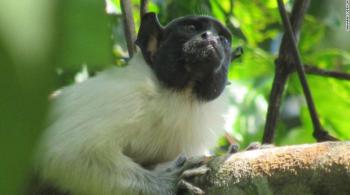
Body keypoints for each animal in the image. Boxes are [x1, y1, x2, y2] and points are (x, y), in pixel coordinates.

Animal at [30, 12, 232, 194]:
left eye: (223, 40)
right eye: (191, 28)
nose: (210, 37)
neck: (178, 96)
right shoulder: (126, 97)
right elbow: (64, 151)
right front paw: (168, 184)